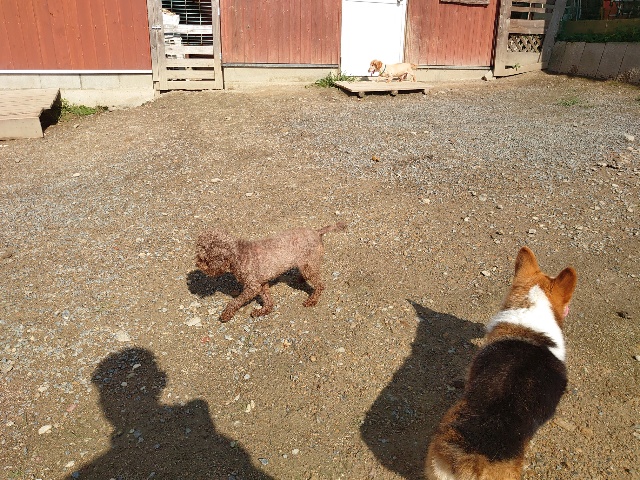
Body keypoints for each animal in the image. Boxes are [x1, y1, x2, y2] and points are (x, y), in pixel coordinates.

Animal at [195, 223, 346, 322]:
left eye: (204, 258)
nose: (197, 264)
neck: (237, 255)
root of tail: (317, 231)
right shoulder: (261, 284)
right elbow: (267, 299)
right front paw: (264, 311)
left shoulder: (252, 286)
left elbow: (234, 301)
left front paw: (226, 314)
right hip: (305, 264)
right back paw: (300, 279)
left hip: (308, 264)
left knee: (320, 285)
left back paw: (312, 300)